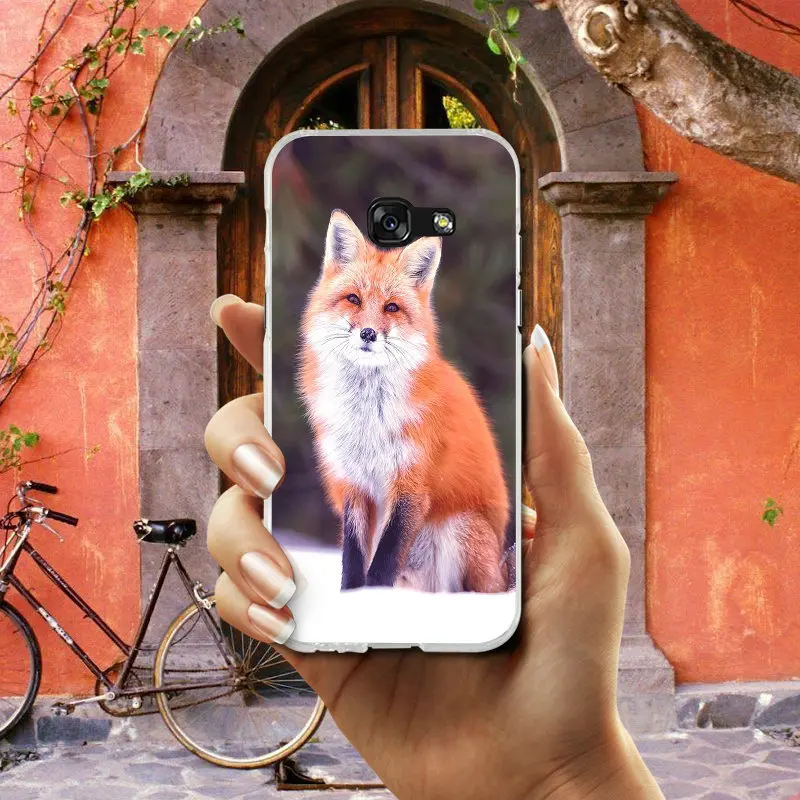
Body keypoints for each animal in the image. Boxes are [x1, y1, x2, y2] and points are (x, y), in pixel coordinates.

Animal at [298, 209, 510, 593]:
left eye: (392, 307)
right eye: (353, 299)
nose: (368, 333)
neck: (367, 421)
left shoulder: (411, 486)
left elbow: (384, 561)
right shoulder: (354, 485)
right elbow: (354, 561)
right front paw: (352, 599)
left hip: (458, 529)